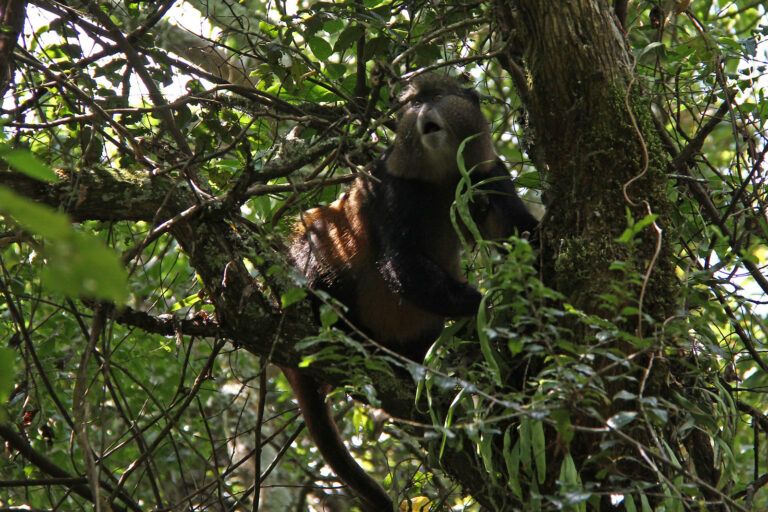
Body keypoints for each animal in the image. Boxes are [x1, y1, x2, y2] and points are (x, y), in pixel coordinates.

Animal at [285, 73, 538, 512]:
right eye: (414, 102)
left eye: (437, 96)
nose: (424, 110)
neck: (440, 175)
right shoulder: (392, 188)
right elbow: (399, 264)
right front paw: (481, 306)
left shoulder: (488, 172)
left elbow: (514, 231)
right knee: (318, 240)